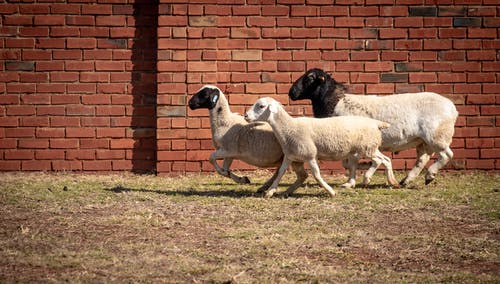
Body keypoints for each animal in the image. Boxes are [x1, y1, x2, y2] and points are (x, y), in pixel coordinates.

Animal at [243, 97, 398, 197]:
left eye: (261, 106)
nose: (246, 116)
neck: (288, 128)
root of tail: (376, 123)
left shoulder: (310, 155)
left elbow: (317, 175)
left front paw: (330, 191)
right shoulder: (291, 155)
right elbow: (280, 173)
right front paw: (270, 191)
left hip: (367, 146)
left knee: (379, 160)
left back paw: (367, 178)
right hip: (370, 146)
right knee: (386, 159)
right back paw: (393, 181)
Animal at [290, 67, 458, 185]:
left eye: (310, 78)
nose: (291, 93)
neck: (334, 101)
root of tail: (452, 108)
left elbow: (351, 163)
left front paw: (355, 180)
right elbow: (349, 163)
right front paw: (361, 174)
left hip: (436, 136)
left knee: (446, 155)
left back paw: (430, 175)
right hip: (422, 141)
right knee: (421, 159)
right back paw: (407, 180)